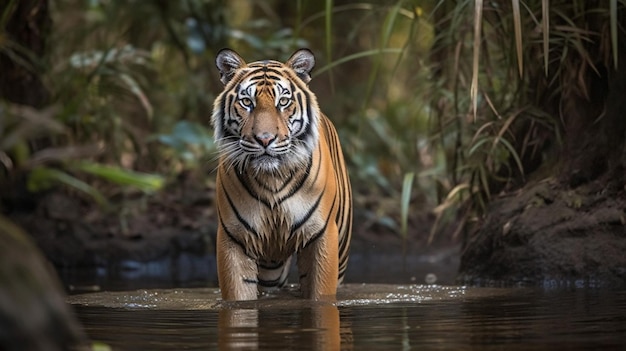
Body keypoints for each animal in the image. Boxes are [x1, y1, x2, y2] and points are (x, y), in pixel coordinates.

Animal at [211, 48, 352, 302]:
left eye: (283, 102)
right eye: (247, 102)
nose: (265, 139)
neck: (272, 177)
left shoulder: (321, 235)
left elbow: (321, 293)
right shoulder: (235, 238)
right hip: (270, 268)